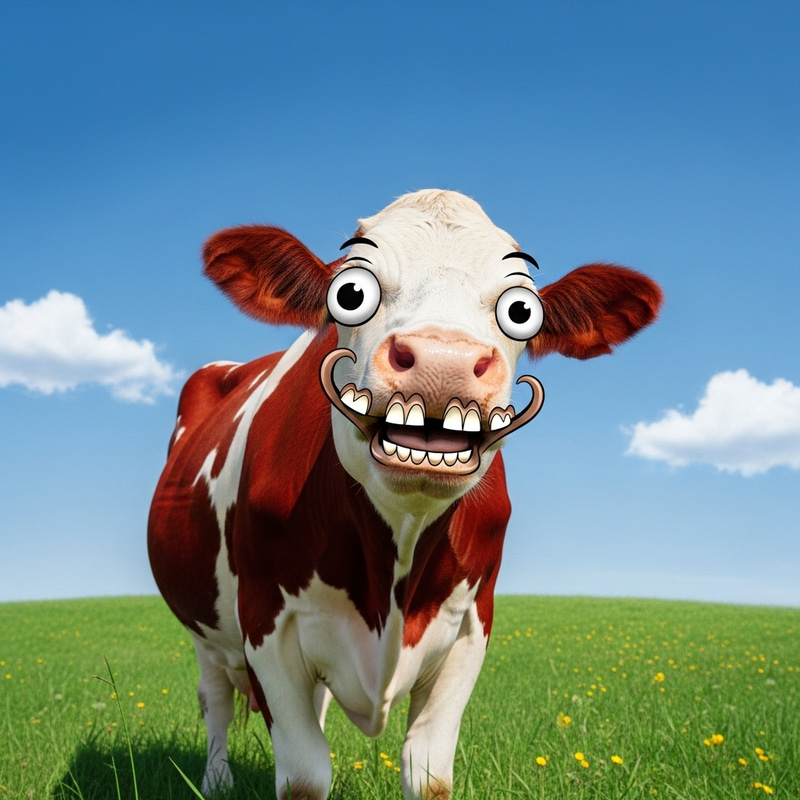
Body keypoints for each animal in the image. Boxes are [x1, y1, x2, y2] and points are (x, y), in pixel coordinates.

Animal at [148, 189, 662, 800]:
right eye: (350, 293)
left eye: (521, 310)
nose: (444, 362)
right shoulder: (265, 623)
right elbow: (304, 776)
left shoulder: (469, 628)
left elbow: (429, 776)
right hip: (206, 631)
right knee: (216, 703)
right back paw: (218, 779)